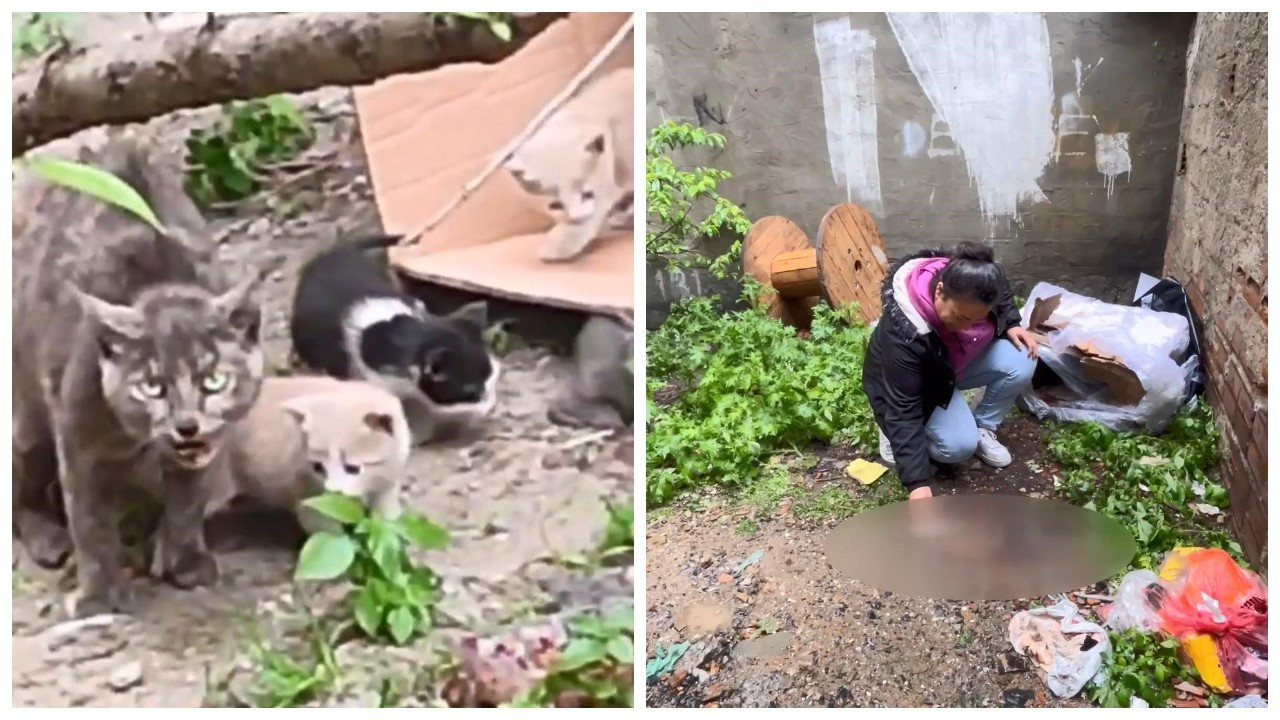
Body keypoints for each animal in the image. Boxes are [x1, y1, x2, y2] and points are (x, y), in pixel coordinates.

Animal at [10, 135, 271, 617]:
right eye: (152, 386)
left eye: (214, 380)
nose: (187, 425)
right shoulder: (78, 442)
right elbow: (89, 520)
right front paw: (98, 594)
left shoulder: (210, 445)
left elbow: (188, 500)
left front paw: (184, 559)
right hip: (30, 419)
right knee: (21, 482)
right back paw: (46, 536)